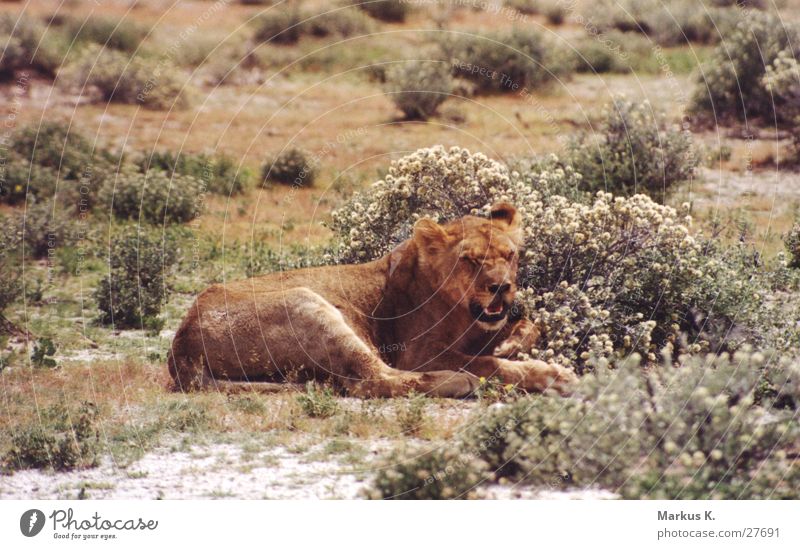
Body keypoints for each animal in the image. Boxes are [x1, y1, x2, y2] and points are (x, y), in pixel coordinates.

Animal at [169, 203, 580, 396]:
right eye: (470, 260)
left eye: (509, 256)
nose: (500, 287)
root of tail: (179, 347)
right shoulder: (418, 353)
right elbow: (489, 364)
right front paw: (553, 374)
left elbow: (530, 326)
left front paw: (513, 343)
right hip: (308, 302)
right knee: (373, 380)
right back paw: (458, 382)